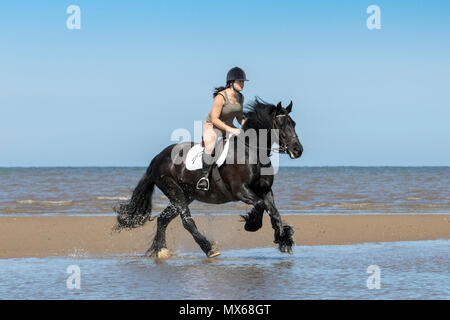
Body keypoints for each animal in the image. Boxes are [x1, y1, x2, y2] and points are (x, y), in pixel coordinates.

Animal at [113, 97, 302, 258]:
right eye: (280, 124)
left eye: (293, 123)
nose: (298, 150)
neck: (252, 152)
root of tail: (158, 157)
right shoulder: (241, 191)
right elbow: (261, 205)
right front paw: (252, 224)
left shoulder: (266, 190)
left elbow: (274, 213)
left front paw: (284, 240)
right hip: (174, 190)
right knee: (186, 221)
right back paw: (209, 248)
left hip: (186, 195)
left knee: (163, 219)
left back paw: (161, 251)